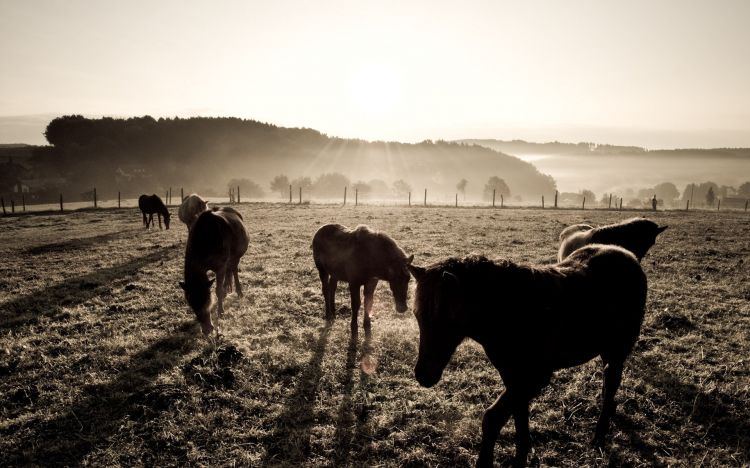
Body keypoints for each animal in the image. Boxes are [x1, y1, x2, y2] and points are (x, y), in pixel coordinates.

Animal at [408, 247, 648, 466]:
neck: (518, 313)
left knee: (611, 381)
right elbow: (519, 414)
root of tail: (628, 255)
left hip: (616, 351)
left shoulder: (534, 379)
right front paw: (523, 452)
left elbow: (493, 418)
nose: (424, 375)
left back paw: (599, 435)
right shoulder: (512, 377)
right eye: (417, 315)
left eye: (448, 321)